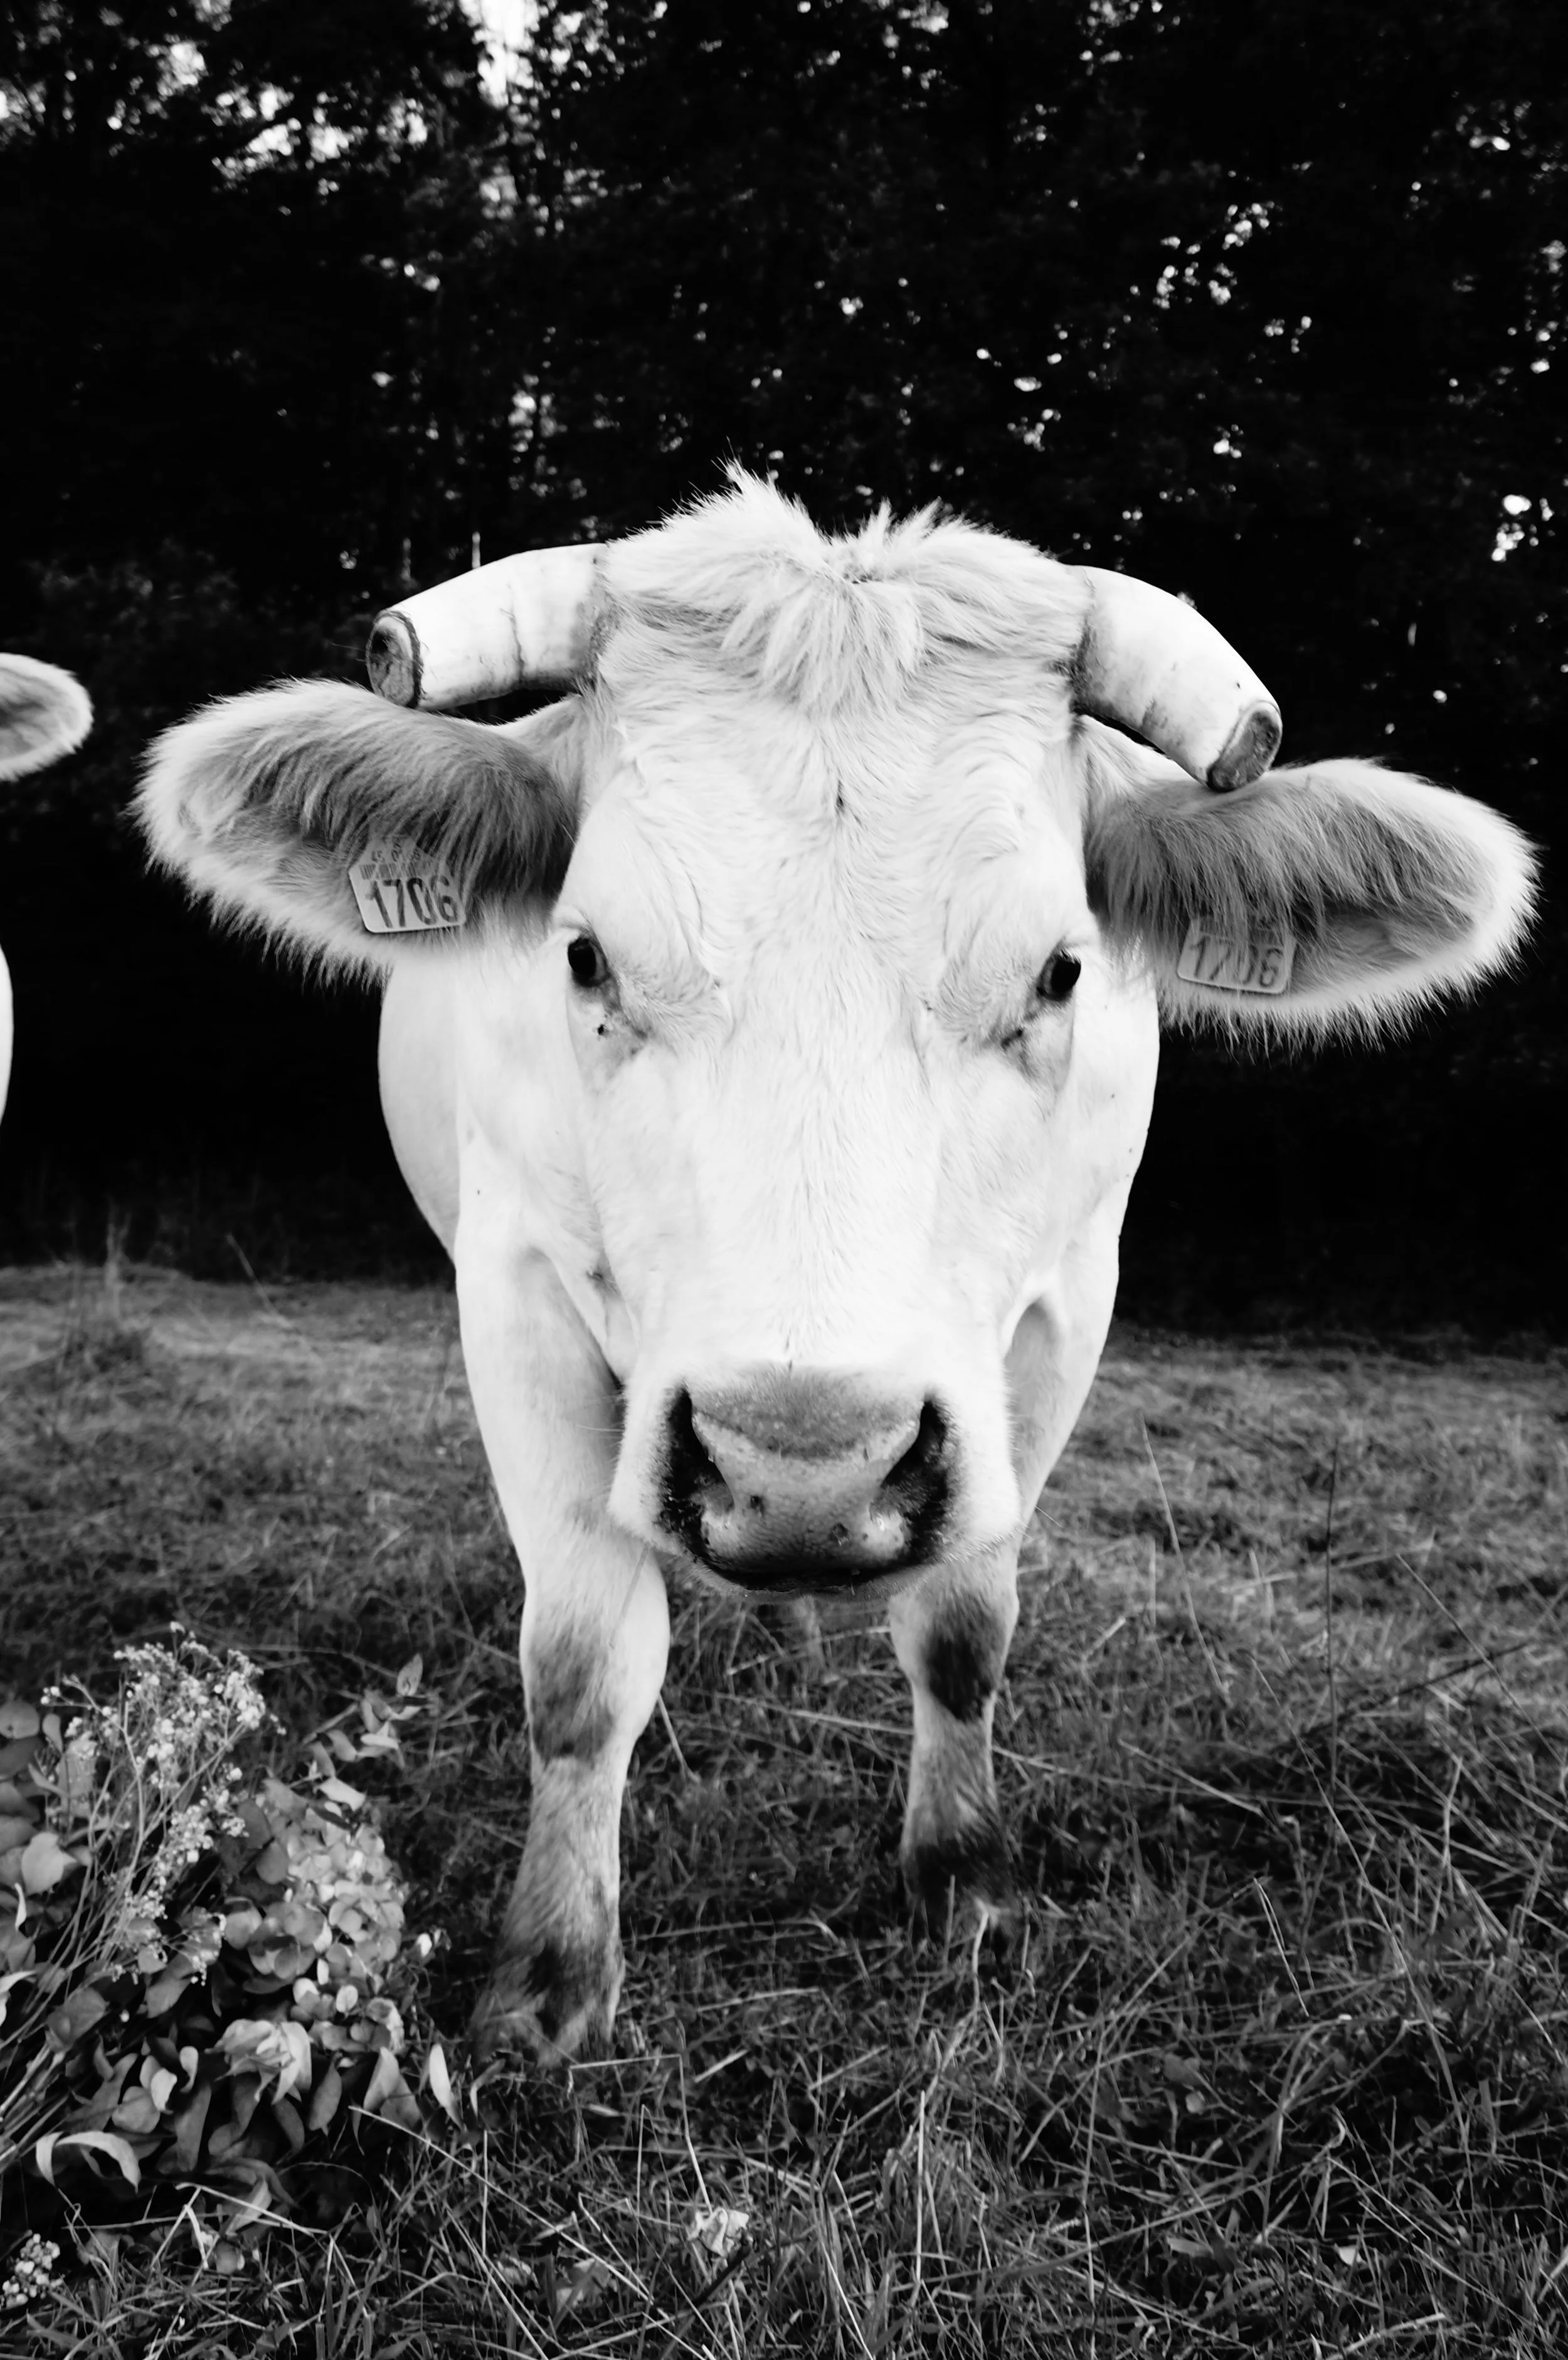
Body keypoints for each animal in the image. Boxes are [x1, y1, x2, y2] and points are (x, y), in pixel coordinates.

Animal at [137, 477, 1534, 2059]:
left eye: (1058, 969)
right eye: (585, 956)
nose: (803, 1467)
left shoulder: (1064, 1301)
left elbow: (966, 1625)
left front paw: (962, 1881)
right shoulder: (511, 1284)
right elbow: (583, 1663)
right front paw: (550, 1975)